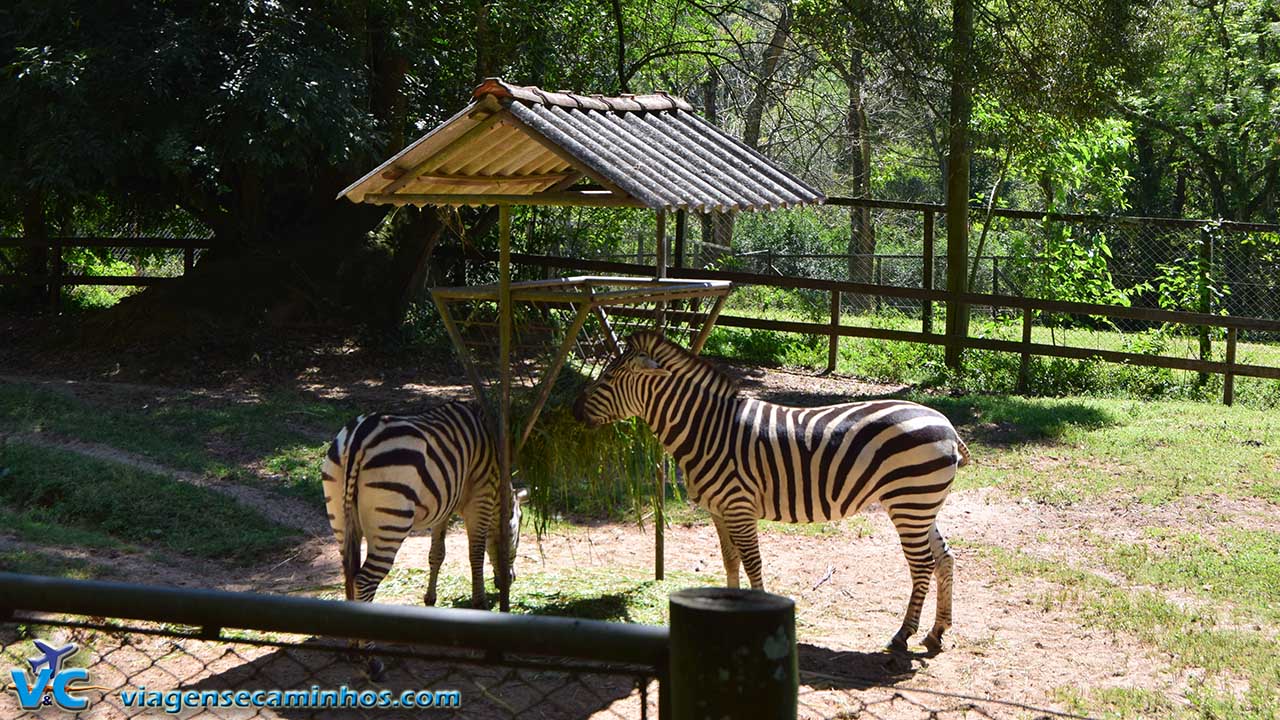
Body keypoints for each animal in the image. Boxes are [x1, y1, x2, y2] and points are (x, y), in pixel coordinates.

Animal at [322, 397, 527, 609]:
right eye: (518, 533)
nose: (510, 580)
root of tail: (359, 436)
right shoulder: (481, 495)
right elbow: (476, 552)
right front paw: (480, 603)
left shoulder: (444, 506)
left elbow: (437, 553)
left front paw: (430, 599)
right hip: (392, 523)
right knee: (364, 580)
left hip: (340, 516)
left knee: (349, 573)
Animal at [573, 330, 967, 650]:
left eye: (609, 376)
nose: (575, 410)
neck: (707, 431)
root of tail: (946, 424)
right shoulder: (719, 510)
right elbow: (731, 561)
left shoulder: (739, 506)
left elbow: (752, 563)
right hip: (921, 505)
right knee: (945, 557)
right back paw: (936, 632)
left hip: (909, 501)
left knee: (922, 564)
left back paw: (903, 635)